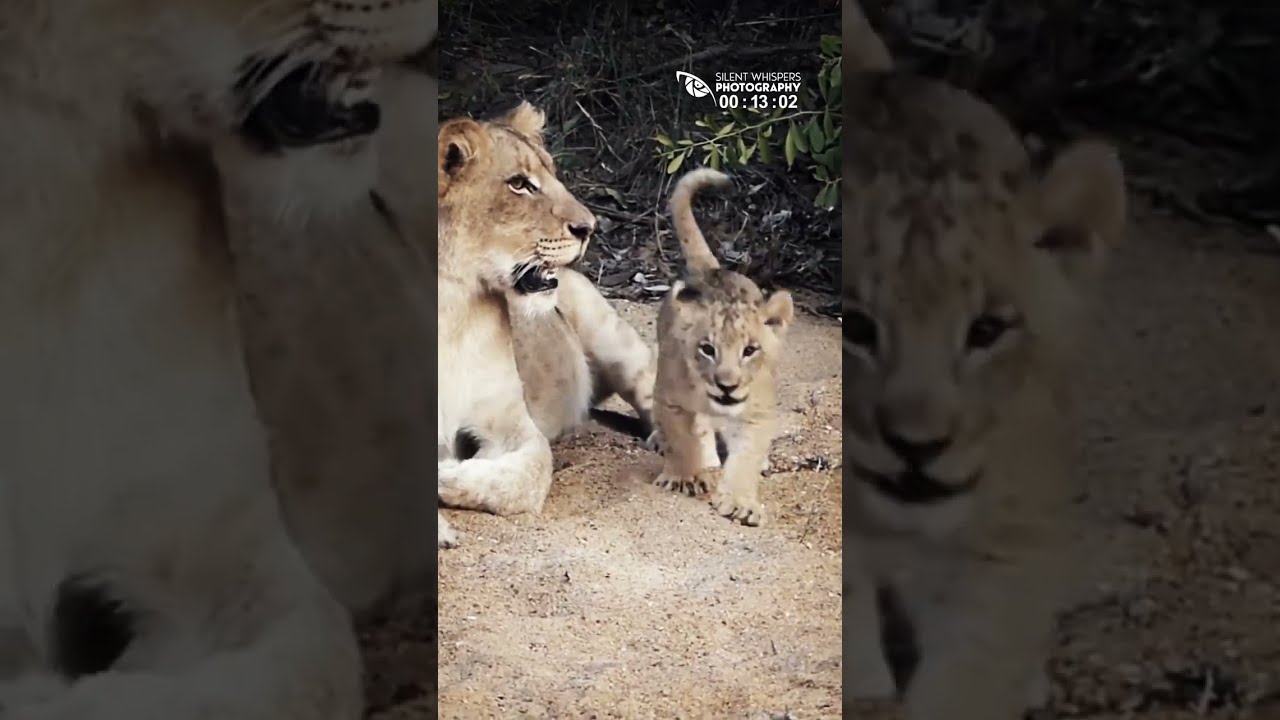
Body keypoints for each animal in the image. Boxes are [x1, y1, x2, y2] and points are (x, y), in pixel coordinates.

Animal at [435, 102, 657, 538]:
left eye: (552, 173)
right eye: (520, 184)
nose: (590, 228)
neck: (451, 307)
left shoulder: (515, 424)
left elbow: (531, 473)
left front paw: (449, 471)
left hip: (614, 337)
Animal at [648, 168, 794, 527]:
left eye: (750, 350)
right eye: (707, 349)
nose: (727, 386)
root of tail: (712, 270)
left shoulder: (756, 412)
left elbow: (746, 459)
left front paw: (741, 503)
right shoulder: (670, 397)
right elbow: (681, 438)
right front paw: (685, 477)